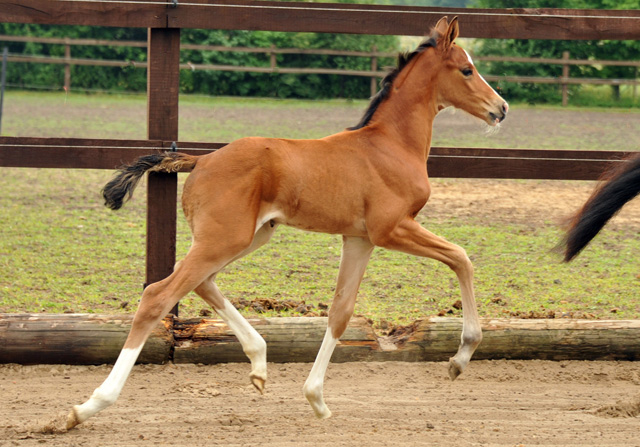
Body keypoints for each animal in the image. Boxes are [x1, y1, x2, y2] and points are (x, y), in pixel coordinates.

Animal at [69, 17, 510, 430]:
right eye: (466, 70)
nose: (501, 108)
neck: (389, 144)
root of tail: (202, 160)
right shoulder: (392, 228)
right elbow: (461, 257)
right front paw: (460, 358)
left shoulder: (359, 239)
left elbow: (341, 312)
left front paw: (316, 399)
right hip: (224, 239)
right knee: (157, 295)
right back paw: (88, 406)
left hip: (248, 237)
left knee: (201, 282)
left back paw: (259, 364)